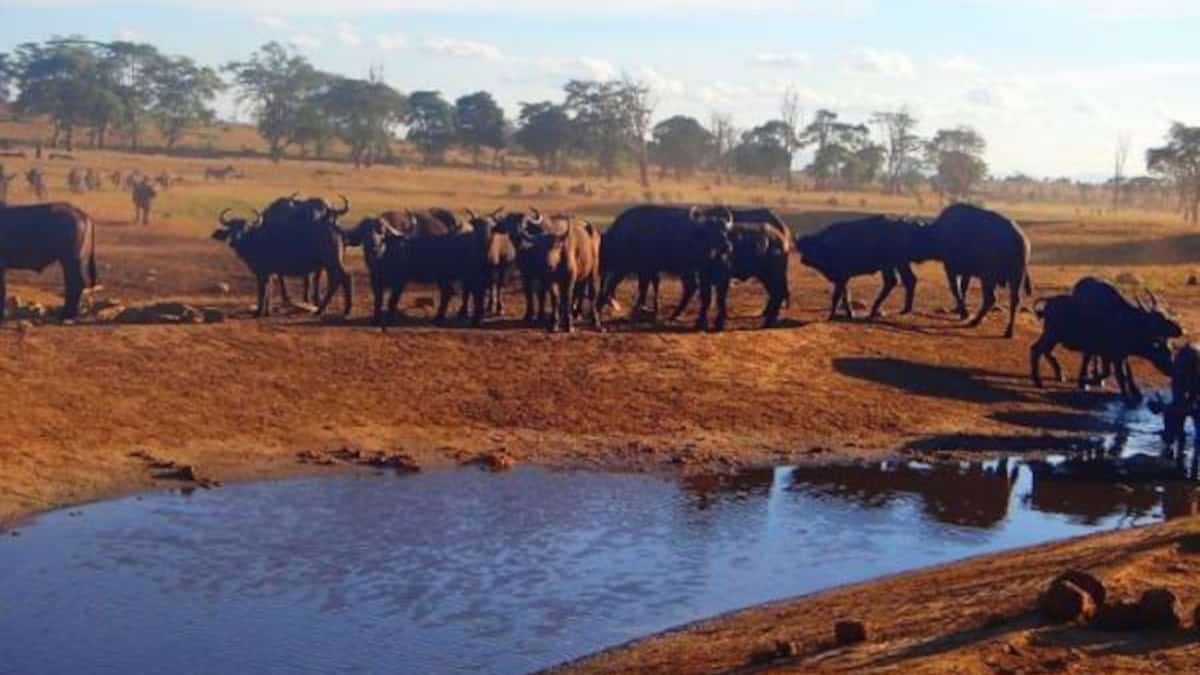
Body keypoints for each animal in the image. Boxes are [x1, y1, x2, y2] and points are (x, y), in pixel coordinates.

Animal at [796, 214, 926, 319]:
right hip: (895, 265)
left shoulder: (841, 277)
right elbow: (845, 295)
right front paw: (849, 314)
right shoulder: (842, 279)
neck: (830, 243)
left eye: (814, 246)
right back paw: (896, 310)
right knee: (903, 280)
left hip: (895, 264)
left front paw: (832, 315)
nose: (803, 259)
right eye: (803, 247)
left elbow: (837, 296)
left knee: (898, 281)